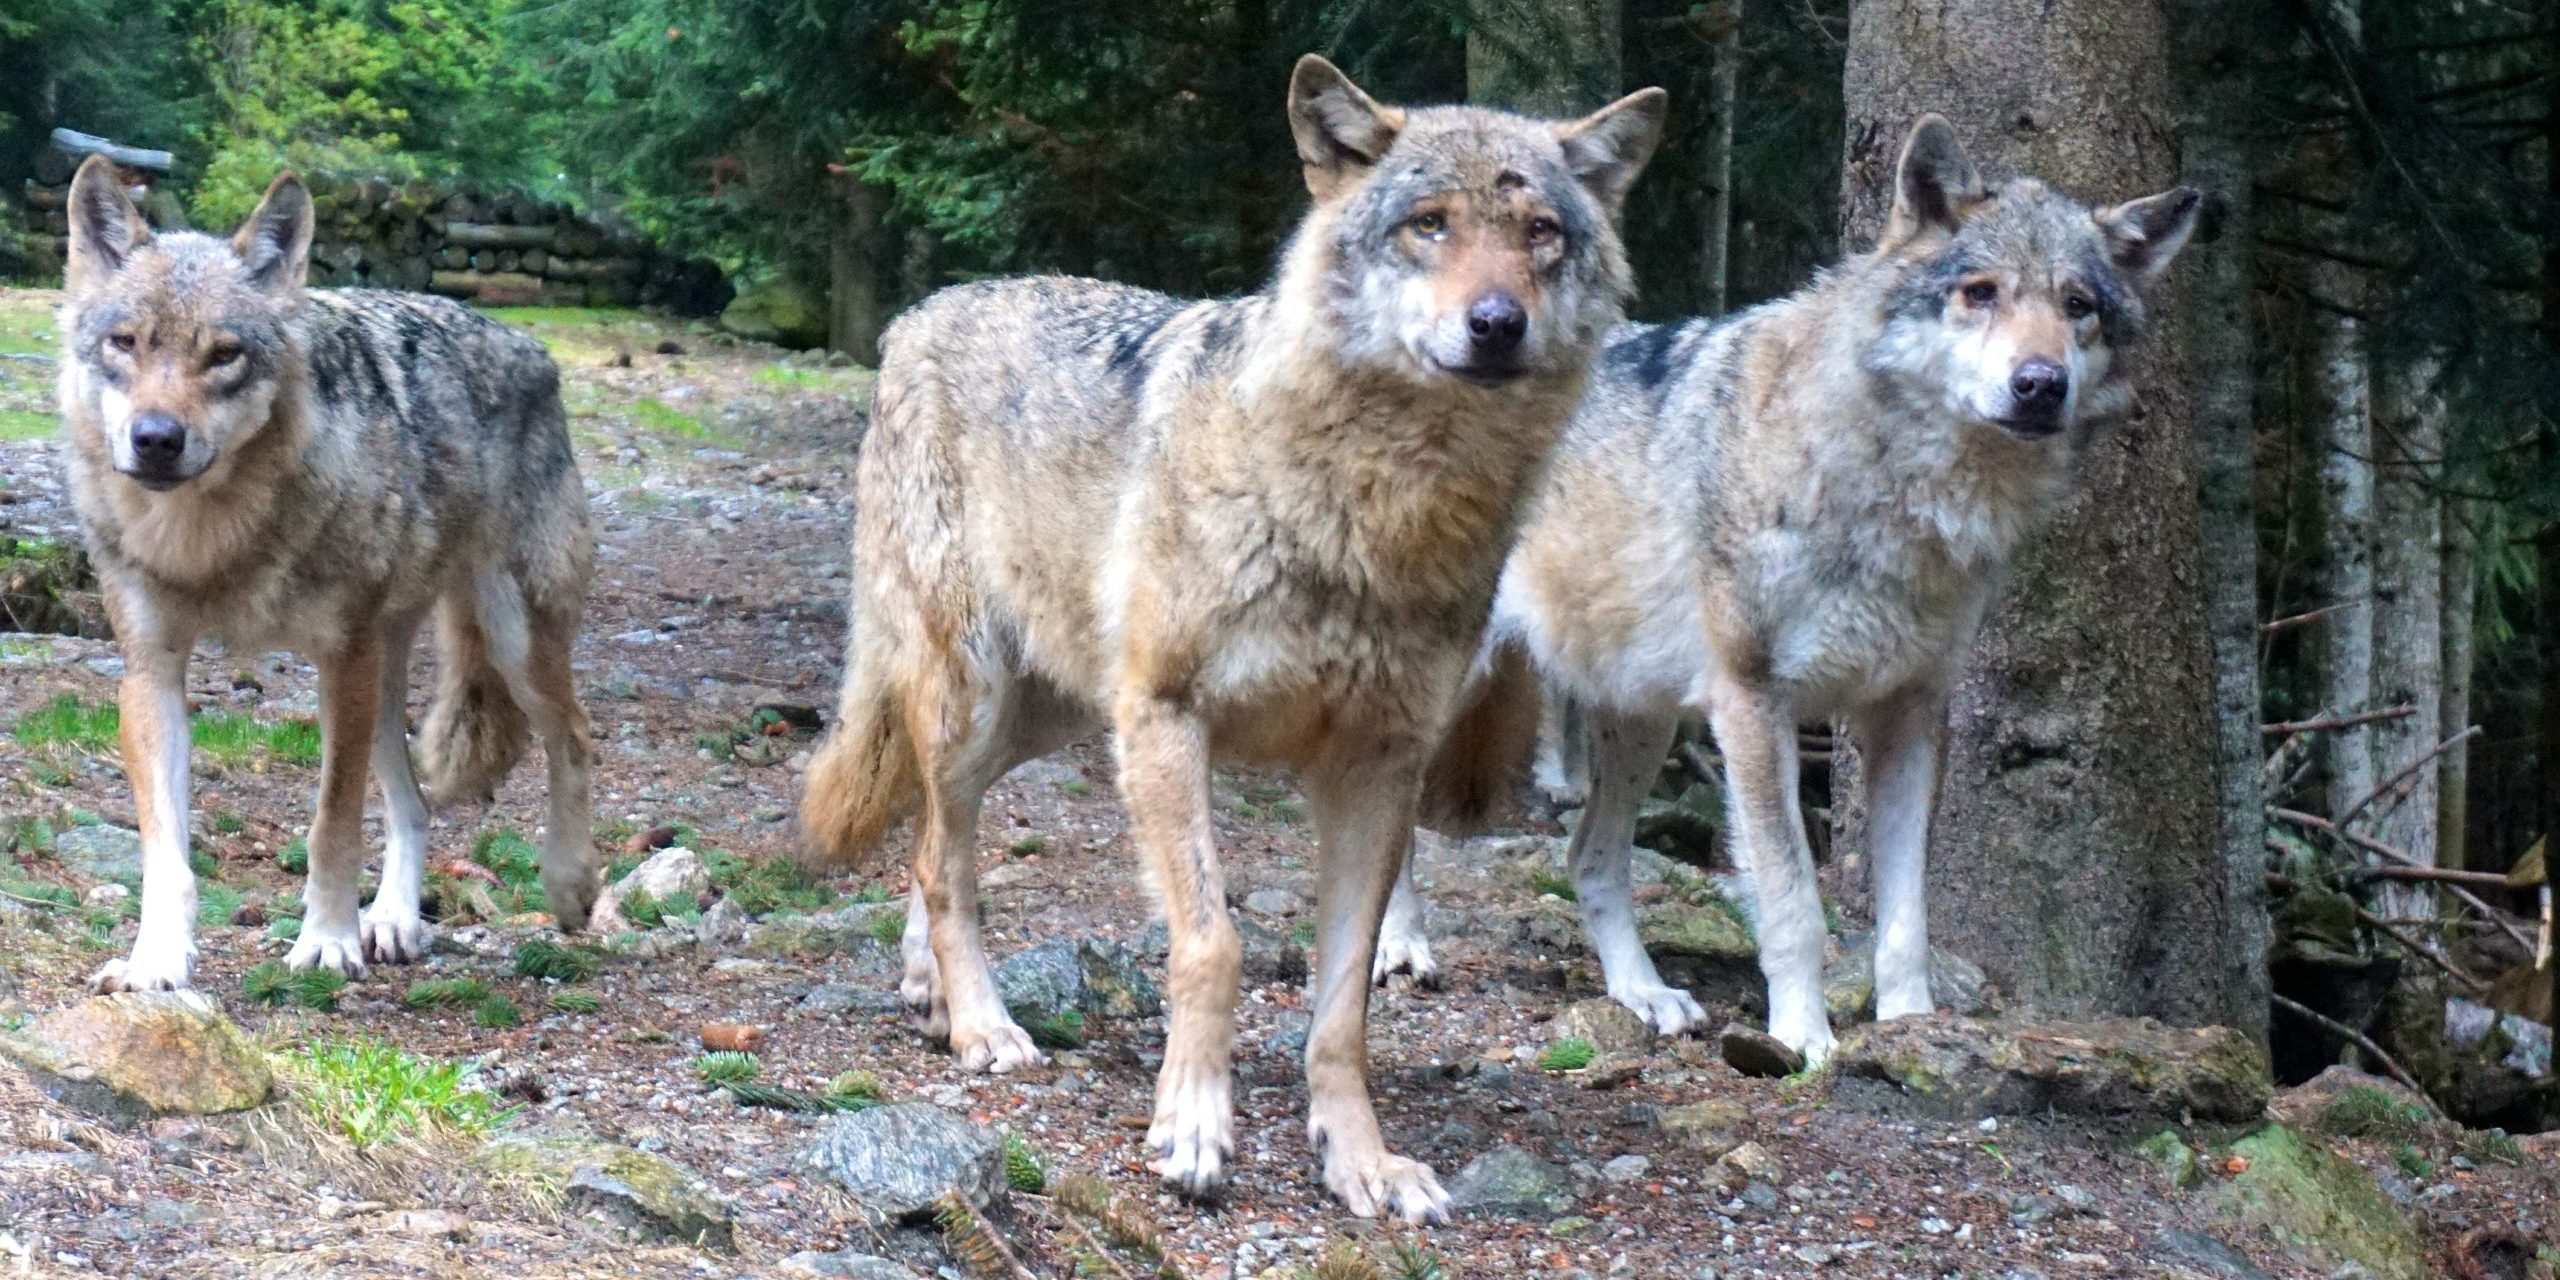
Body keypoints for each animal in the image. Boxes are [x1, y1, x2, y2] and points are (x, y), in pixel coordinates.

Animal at [55, 156, 599, 994]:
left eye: (223, 355)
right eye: (125, 343)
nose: (156, 439)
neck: (214, 538)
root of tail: (528, 345)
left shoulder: (341, 660)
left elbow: (331, 823)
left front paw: (328, 942)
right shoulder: (151, 670)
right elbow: (166, 850)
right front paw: (157, 960)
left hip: (507, 644)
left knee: (572, 735)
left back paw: (570, 887)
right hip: (387, 674)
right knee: (414, 804)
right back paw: (396, 919)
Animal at [799, 56, 1663, 1221]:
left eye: (1540, 233)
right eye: (1429, 224)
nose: (1497, 323)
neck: (1373, 514)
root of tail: (919, 316)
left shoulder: (1376, 765)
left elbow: (1343, 1005)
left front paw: (1361, 1160)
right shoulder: (1172, 718)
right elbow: (1213, 942)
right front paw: (1195, 1129)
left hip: (1058, 717)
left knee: (939, 837)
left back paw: (931, 993)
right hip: (985, 697)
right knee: (944, 853)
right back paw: (983, 1024)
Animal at [1389, 116, 2202, 1062]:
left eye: (2077, 306)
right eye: (1981, 292)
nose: (2040, 385)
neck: (1898, 492)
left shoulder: (1911, 714)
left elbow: (1905, 917)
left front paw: (1911, 1025)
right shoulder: (1754, 704)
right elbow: (1791, 905)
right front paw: (1805, 1040)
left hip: (1644, 717)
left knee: (1587, 854)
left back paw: (1644, 994)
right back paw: (1399, 949)